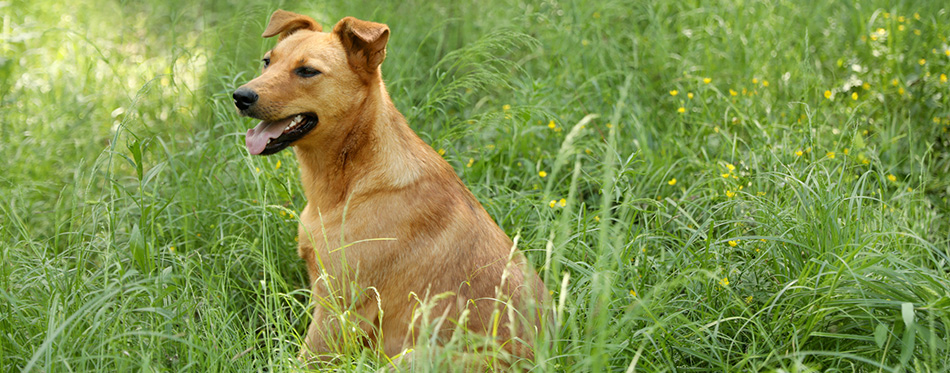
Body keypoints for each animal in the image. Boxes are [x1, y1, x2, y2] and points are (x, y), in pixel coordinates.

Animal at [232, 9, 552, 370]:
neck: (350, 181)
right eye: (267, 61)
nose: (241, 96)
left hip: (409, 358)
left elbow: (301, 361)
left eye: (307, 71)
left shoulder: (339, 310)